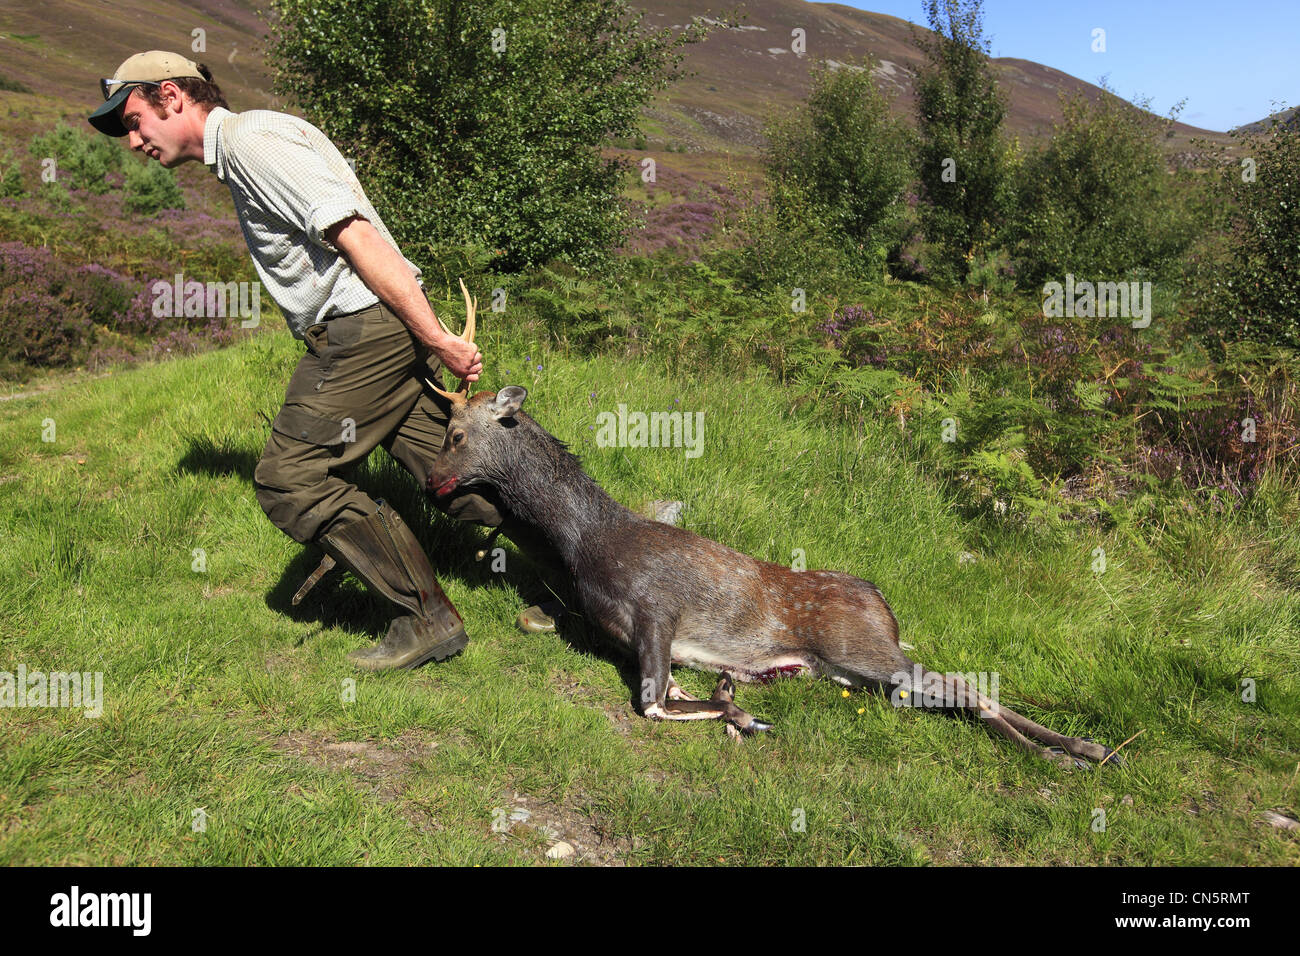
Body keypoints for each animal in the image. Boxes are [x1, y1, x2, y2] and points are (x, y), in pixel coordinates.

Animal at [422, 282, 1123, 770]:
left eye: (454, 434)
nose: (431, 481)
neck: (585, 543)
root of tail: (886, 606)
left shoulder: (656, 611)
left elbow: (653, 703)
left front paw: (740, 707)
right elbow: (671, 695)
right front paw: (733, 702)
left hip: (863, 650)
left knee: (965, 686)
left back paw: (1064, 753)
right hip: (853, 671)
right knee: (959, 686)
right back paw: (1088, 747)